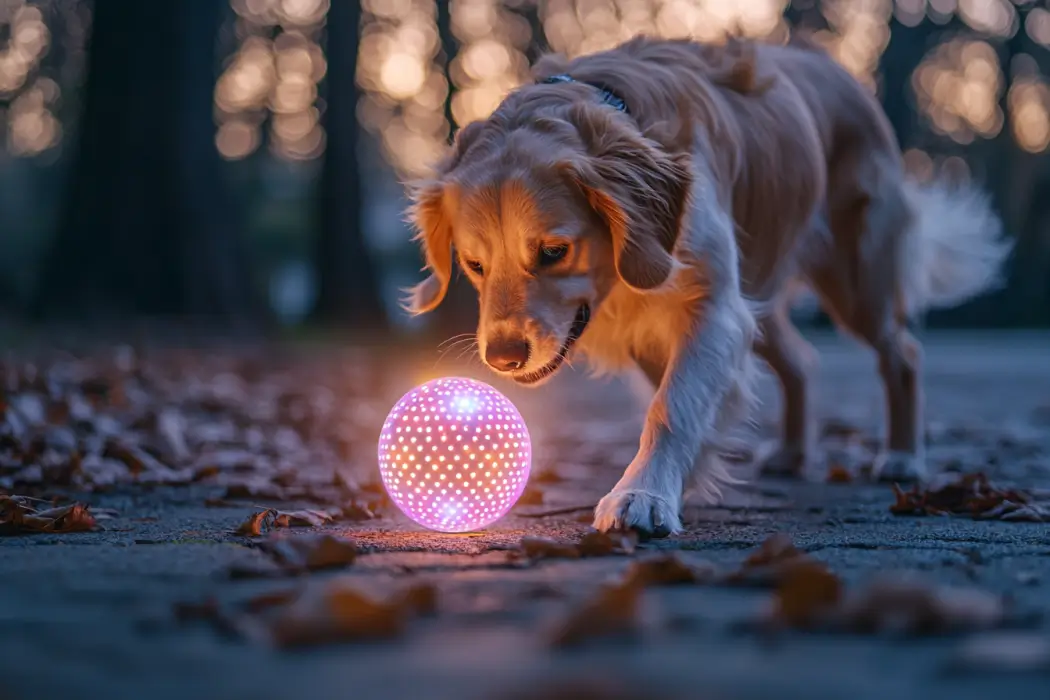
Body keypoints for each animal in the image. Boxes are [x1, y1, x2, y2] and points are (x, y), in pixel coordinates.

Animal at [398, 35, 1007, 541]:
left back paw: (903, 457)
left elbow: (672, 406)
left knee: (901, 352)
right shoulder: (678, 323)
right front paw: (675, 480)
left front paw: (642, 495)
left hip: (856, 280)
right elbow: (677, 399)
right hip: (760, 297)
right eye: (474, 264)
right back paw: (792, 451)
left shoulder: (712, 308)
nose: (502, 358)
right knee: (800, 360)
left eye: (554, 251)